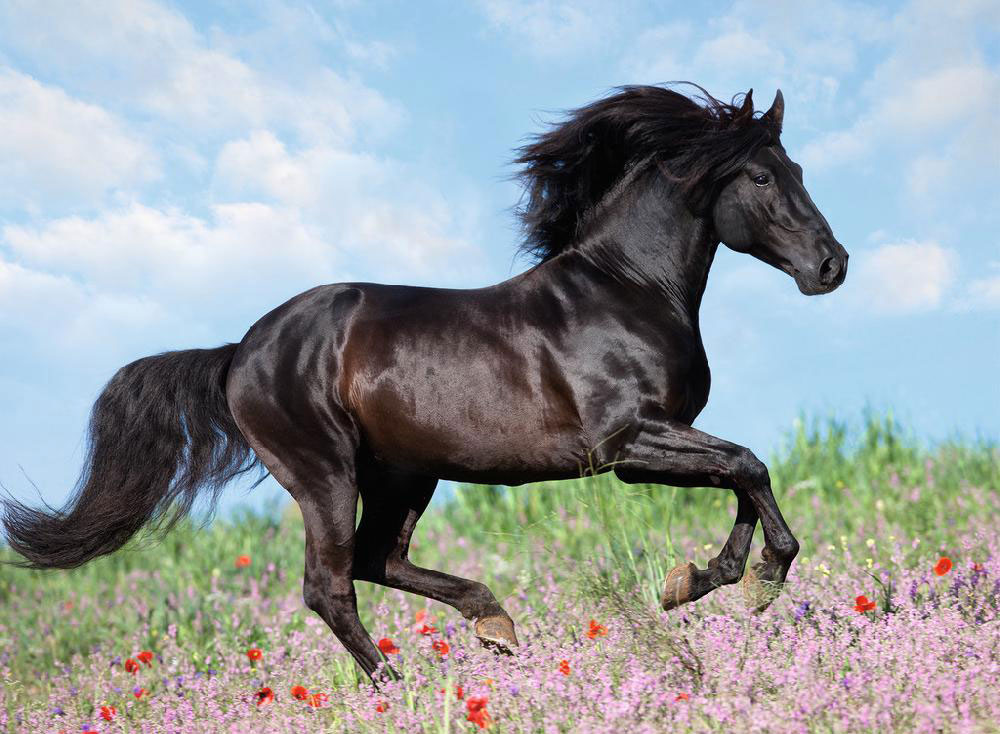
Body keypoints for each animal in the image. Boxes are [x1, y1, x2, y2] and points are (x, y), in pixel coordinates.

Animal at [2, 85, 847, 680]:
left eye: (801, 170)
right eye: (763, 175)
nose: (831, 265)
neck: (626, 288)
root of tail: (240, 352)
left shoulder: (659, 441)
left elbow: (740, 474)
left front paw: (702, 580)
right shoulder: (626, 446)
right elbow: (747, 466)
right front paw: (756, 579)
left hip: (405, 473)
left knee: (378, 560)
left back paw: (495, 624)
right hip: (325, 472)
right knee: (330, 583)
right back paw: (395, 685)